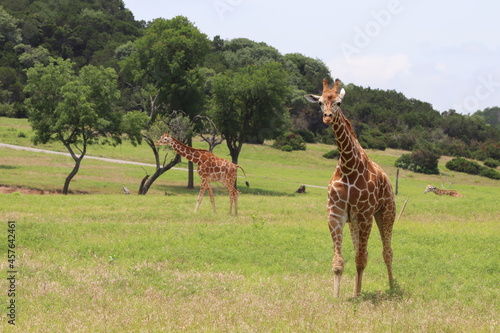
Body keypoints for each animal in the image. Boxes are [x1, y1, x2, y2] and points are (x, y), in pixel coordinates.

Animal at [302, 79, 396, 296]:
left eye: (339, 103)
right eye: (320, 102)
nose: (327, 118)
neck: (348, 166)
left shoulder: (365, 215)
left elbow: (361, 259)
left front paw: (355, 295)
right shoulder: (336, 214)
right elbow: (339, 262)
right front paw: (338, 297)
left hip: (386, 214)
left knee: (387, 252)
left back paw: (391, 287)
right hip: (354, 222)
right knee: (360, 252)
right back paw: (357, 290)